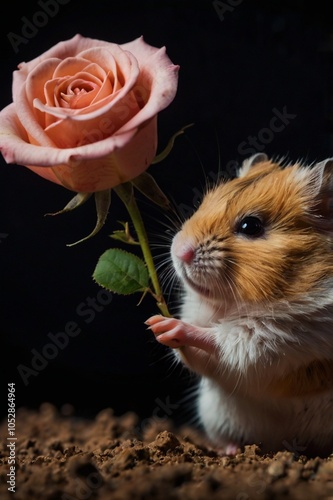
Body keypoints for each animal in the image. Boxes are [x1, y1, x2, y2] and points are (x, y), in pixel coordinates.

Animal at [147, 152, 332, 458]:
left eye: (251, 226)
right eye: (205, 202)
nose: (179, 251)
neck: (231, 305)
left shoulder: (277, 337)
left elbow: (224, 341)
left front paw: (168, 325)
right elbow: (200, 357)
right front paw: (157, 327)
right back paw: (231, 451)